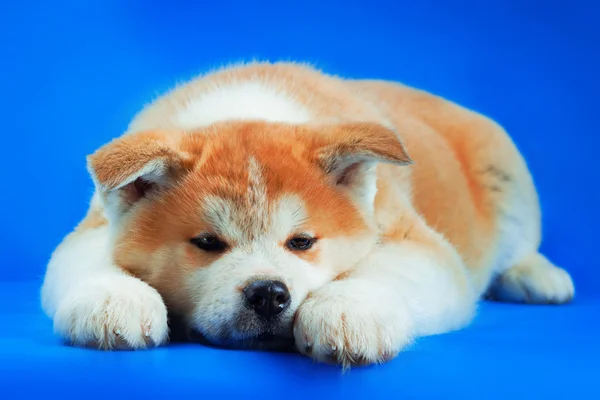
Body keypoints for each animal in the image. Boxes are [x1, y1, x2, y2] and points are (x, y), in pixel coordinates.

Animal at [39, 61, 576, 366]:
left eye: (302, 242)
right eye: (208, 243)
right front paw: (115, 300)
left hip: (507, 171)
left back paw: (537, 276)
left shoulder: (417, 244)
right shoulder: (92, 229)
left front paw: (346, 311)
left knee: (519, 242)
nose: (268, 294)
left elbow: (378, 271)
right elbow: (90, 260)